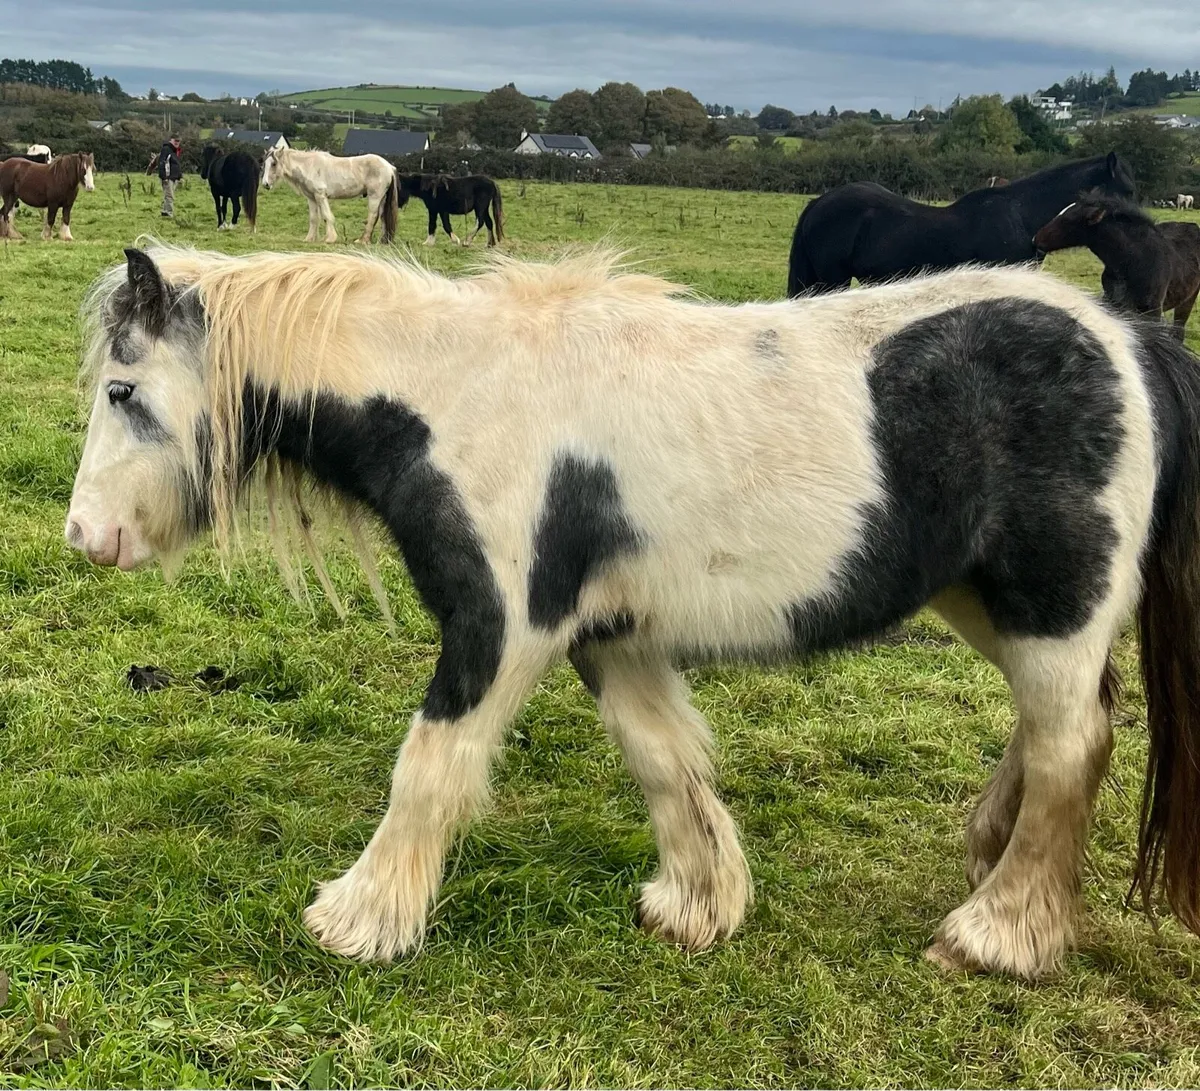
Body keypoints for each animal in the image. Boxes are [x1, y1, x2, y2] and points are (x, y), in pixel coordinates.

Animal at [68, 243, 1200, 981]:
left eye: (123, 390)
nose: (86, 536)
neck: (461, 398)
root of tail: (1129, 337)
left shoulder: (504, 626)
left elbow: (430, 765)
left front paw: (358, 918)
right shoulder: (610, 636)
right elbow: (663, 760)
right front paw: (698, 906)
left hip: (1054, 606)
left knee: (1072, 743)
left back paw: (999, 931)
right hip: (986, 601)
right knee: (1058, 728)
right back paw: (988, 851)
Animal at [261, 147, 398, 244]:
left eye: (274, 164)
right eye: (264, 164)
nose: (265, 184)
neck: (309, 166)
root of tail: (389, 167)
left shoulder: (320, 196)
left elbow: (326, 216)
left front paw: (330, 238)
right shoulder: (311, 198)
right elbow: (313, 219)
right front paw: (309, 239)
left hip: (375, 196)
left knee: (373, 216)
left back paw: (362, 240)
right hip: (382, 198)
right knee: (383, 217)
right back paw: (381, 241)